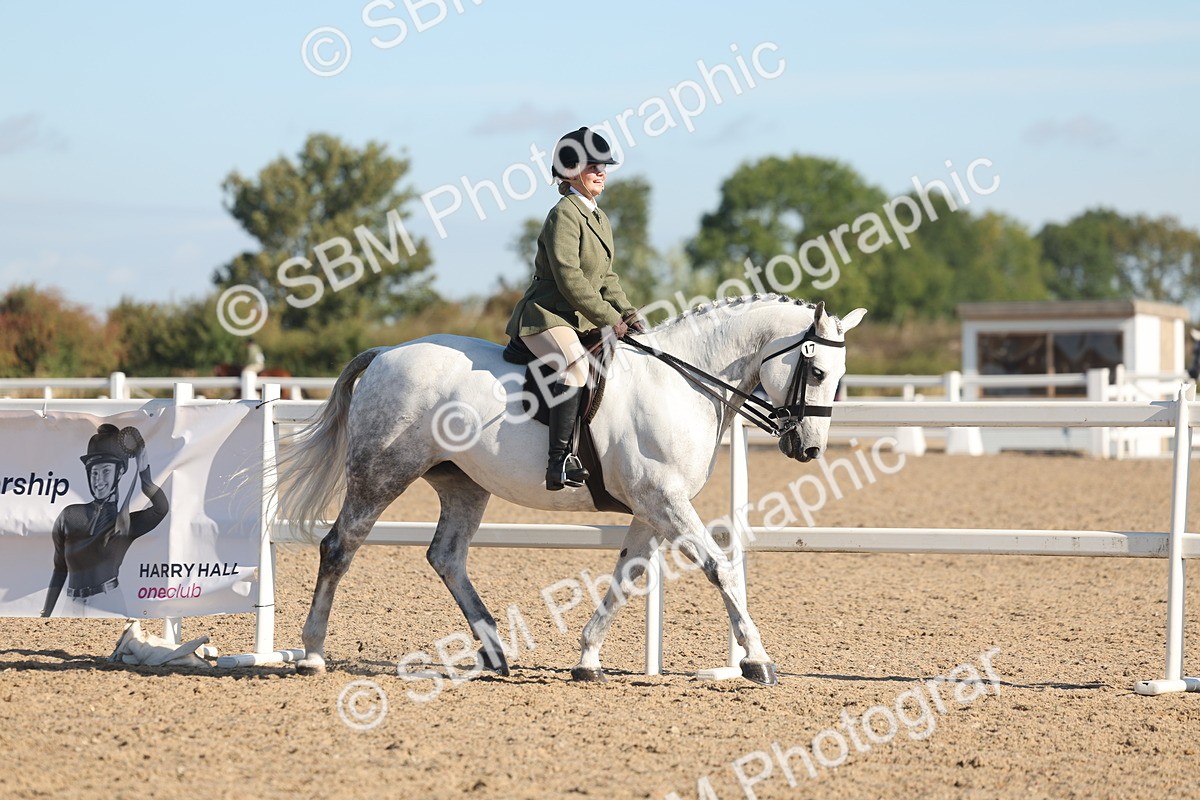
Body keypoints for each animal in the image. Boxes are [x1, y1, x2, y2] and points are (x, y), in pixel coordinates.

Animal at [278, 295, 867, 684]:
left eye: (839, 376)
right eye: (816, 371)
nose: (809, 449)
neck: (683, 383)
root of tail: (385, 352)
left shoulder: (652, 507)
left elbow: (627, 577)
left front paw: (587, 660)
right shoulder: (666, 501)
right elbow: (720, 568)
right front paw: (757, 659)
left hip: (463, 485)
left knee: (446, 556)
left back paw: (495, 654)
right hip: (382, 473)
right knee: (340, 546)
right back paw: (311, 654)